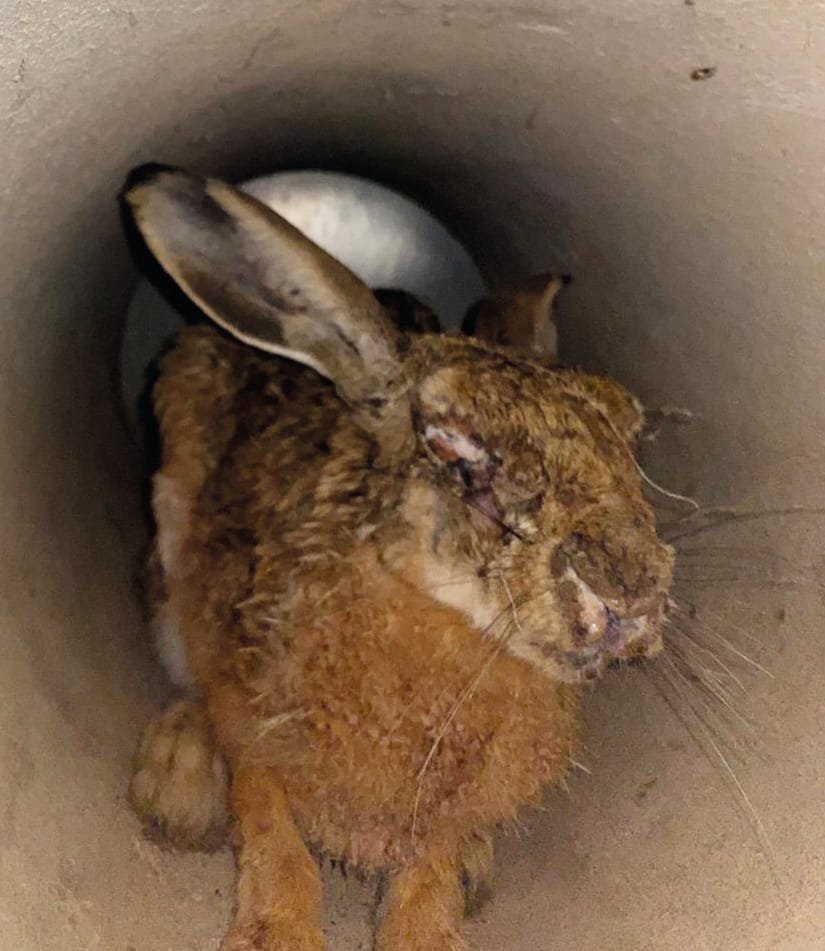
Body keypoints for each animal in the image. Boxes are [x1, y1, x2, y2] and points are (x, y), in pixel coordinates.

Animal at [122, 164, 674, 951]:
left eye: (631, 439)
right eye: (449, 443)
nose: (633, 593)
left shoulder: (444, 809)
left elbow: (430, 866)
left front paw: (429, 929)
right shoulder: (247, 705)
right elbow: (271, 828)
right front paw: (273, 934)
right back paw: (176, 778)